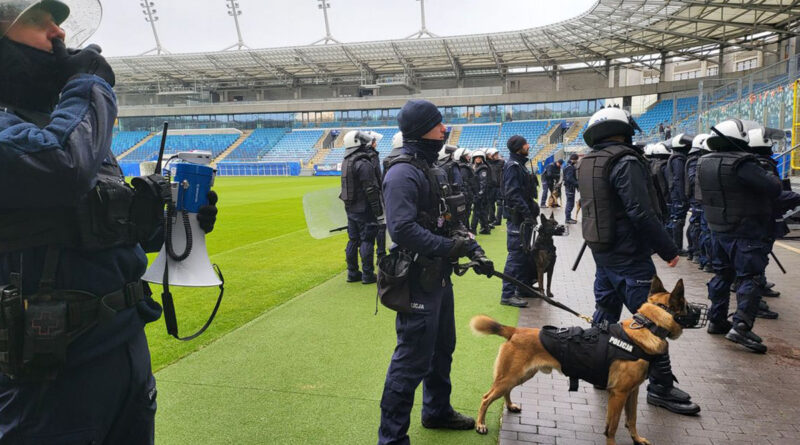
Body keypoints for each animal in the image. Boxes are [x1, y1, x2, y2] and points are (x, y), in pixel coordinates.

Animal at [476, 276, 688, 442]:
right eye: (687, 305)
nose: (695, 310)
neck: (646, 326)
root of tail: (516, 330)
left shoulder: (632, 392)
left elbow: (632, 419)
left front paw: (637, 439)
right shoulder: (618, 394)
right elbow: (612, 429)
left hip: (520, 375)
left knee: (505, 391)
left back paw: (510, 406)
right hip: (510, 376)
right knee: (486, 398)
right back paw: (480, 424)